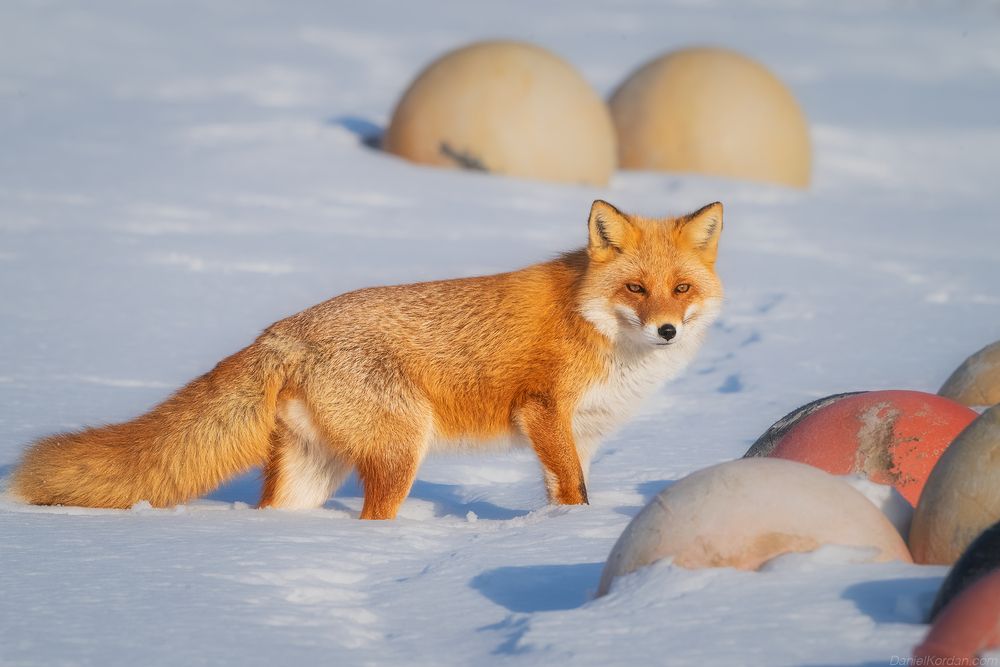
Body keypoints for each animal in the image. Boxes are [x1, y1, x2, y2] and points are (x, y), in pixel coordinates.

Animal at [11, 200, 724, 519]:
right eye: (636, 289)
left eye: (681, 289)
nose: (666, 330)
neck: (594, 322)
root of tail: (282, 331)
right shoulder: (542, 412)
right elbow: (571, 489)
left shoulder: (586, 432)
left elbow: (571, 493)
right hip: (401, 449)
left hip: (312, 469)